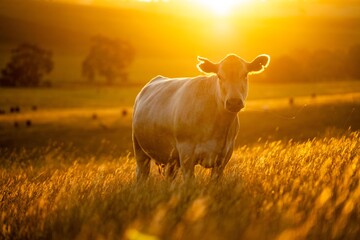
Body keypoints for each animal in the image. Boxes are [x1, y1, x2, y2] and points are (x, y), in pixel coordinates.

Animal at [132, 53, 270, 181]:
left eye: (245, 75)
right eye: (219, 76)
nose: (234, 102)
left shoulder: (223, 158)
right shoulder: (186, 155)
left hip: (171, 158)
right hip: (139, 150)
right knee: (142, 174)